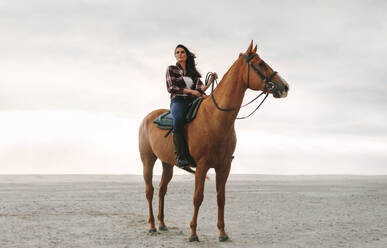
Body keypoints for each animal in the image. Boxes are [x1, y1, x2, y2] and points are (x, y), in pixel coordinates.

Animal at [138, 41, 290, 242]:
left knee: (162, 189)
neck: (215, 118)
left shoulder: (224, 166)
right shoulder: (202, 166)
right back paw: (152, 226)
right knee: (150, 191)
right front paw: (193, 233)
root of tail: (147, 118)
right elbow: (198, 198)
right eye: (261, 64)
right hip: (148, 160)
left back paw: (162, 224)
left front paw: (222, 233)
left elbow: (221, 198)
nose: (285, 87)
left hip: (167, 163)